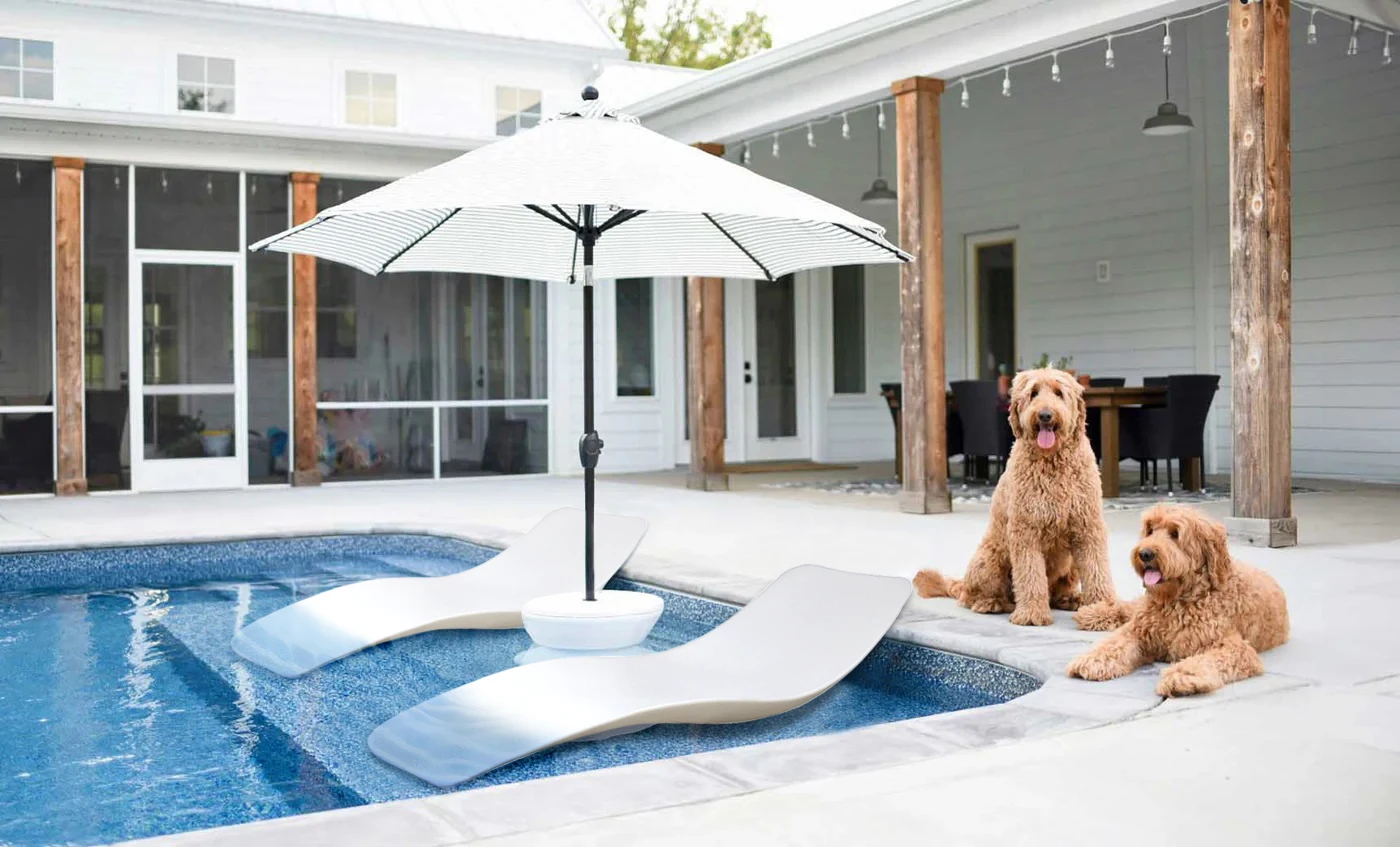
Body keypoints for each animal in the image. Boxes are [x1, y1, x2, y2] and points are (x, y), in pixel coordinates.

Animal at [912, 369, 1120, 627]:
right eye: (1033, 394)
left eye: (1059, 393)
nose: (1045, 415)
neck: (1052, 462)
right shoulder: (1025, 530)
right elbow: (1030, 575)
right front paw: (1031, 614)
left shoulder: (1087, 527)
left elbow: (1096, 570)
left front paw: (1102, 611)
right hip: (989, 559)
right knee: (972, 596)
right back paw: (992, 603)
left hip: (1070, 561)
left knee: (1056, 591)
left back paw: (1070, 598)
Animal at [1069, 504, 1288, 697]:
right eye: (1150, 529)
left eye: (1175, 534)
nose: (1145, 553)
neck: (1178, 602)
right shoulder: (1138, 630)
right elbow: (1114, 643)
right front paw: (1094, 659)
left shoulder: (1234, 648)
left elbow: (1205, 660)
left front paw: (1183, 676)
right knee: (1129, 607)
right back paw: (1093, 613)